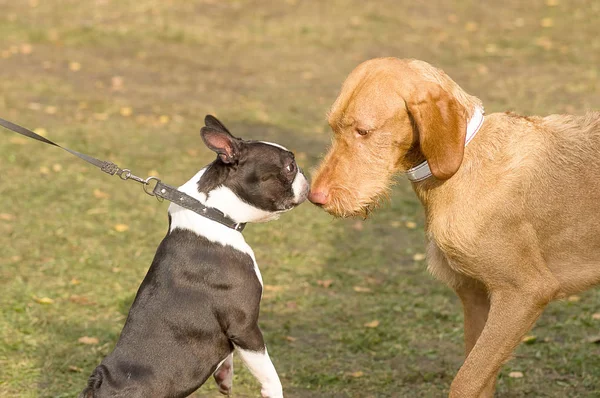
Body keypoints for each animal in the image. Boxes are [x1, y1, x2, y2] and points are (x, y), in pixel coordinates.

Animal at [79, 116, 310, 398]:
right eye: (289, 167)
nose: (306, 175)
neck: (212, 213)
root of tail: (98, 382)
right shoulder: (244, 328)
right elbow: (269, 373)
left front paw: (224, 376)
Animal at [310, 57, 600, 396]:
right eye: (333, 127)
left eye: (363, 131)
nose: (314, 196)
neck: (463, 160)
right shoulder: (476, 296)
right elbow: (481, 380)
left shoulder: (524, 292)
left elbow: (466, 380)